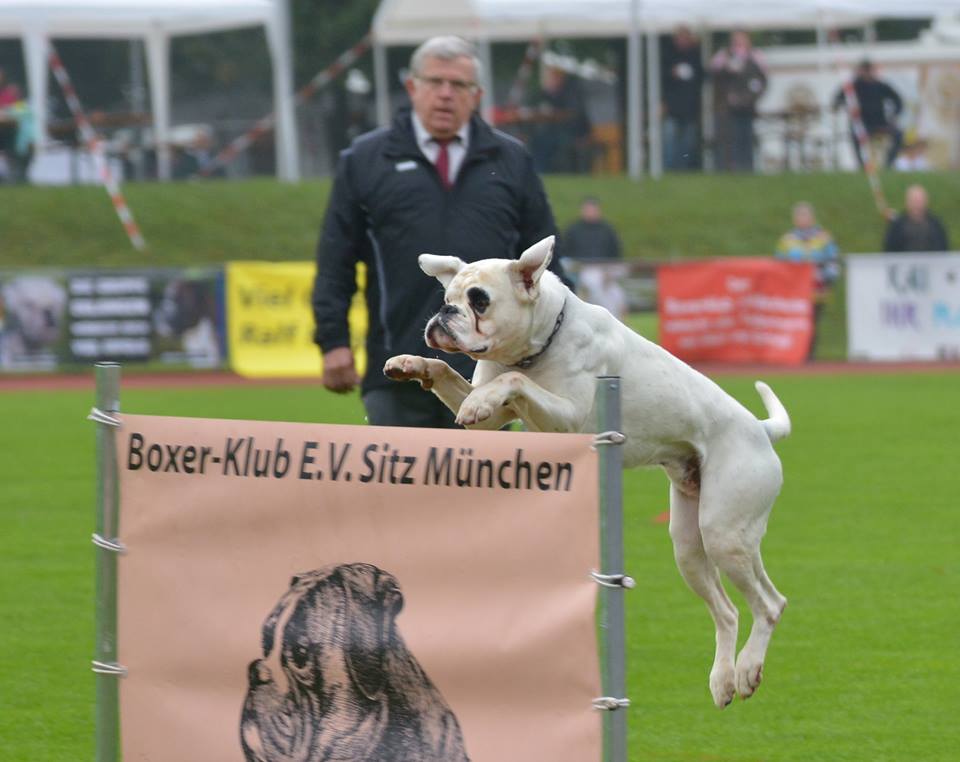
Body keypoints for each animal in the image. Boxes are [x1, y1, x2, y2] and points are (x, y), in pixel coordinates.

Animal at [384, 236, 791, 708]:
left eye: (479, 301)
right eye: (448, 298)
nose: (444, 315)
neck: (539, 344)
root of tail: (760, 431)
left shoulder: (570, 416)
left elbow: (512, 384)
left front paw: (480, 396)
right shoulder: (497, 418)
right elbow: (452, 371)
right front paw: (414, 364)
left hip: (725, 534)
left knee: (769, 605)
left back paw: (747, 671)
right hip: (690, 547)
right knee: (727, 612)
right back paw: (722, 680)